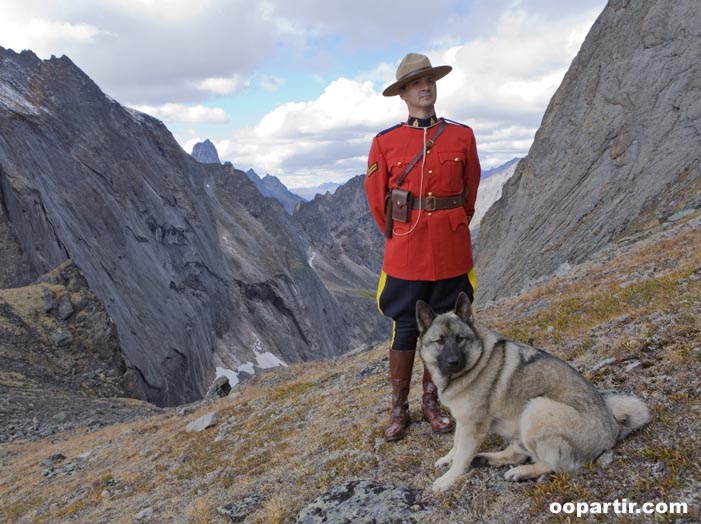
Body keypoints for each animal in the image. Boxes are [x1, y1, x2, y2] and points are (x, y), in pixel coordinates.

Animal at [416, 292, 652, 494]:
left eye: (460, 339)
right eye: (440, 341)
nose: (453, 362)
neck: (477, 361)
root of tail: (613, 431)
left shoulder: (472, 426)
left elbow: (461, 457)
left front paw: (448, 479)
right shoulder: (463, 421)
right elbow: (456, 446)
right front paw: (447, 459)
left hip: (536, 409)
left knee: (555, 465)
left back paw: (521, 472)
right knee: (519, 453)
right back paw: (486, 459)